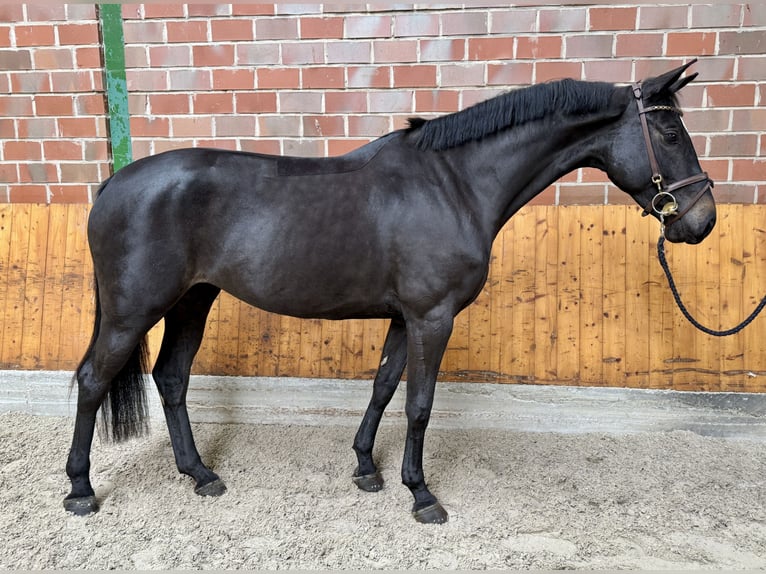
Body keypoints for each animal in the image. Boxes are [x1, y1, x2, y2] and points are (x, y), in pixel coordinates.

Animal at [64, 61, 715, 523]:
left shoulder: (406, 317)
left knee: (171, 378)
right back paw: (80, 488)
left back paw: (200, 474)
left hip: (192, 302)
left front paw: (365, 468)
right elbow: (419, 404)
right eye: (668, 129)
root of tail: (112, 185)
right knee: (94, 380)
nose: (701, 221)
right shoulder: (433, 317)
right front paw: (421, 494)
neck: (452, 184)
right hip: (132, 312)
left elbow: (382, 387)